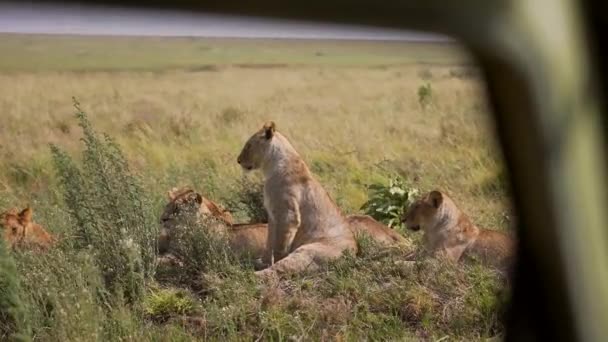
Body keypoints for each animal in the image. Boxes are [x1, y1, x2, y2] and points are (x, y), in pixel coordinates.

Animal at [239, 121, 360, 278]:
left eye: (248, 145)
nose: (238, 160)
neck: (271, 166)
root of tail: (353, 255)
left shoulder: (287, 215)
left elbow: (279, 246)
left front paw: (269, 262)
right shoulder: (273, 215)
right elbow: (270, 241)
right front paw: (264, 260)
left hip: (308, 251)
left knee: (280, 269)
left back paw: (251, 275)